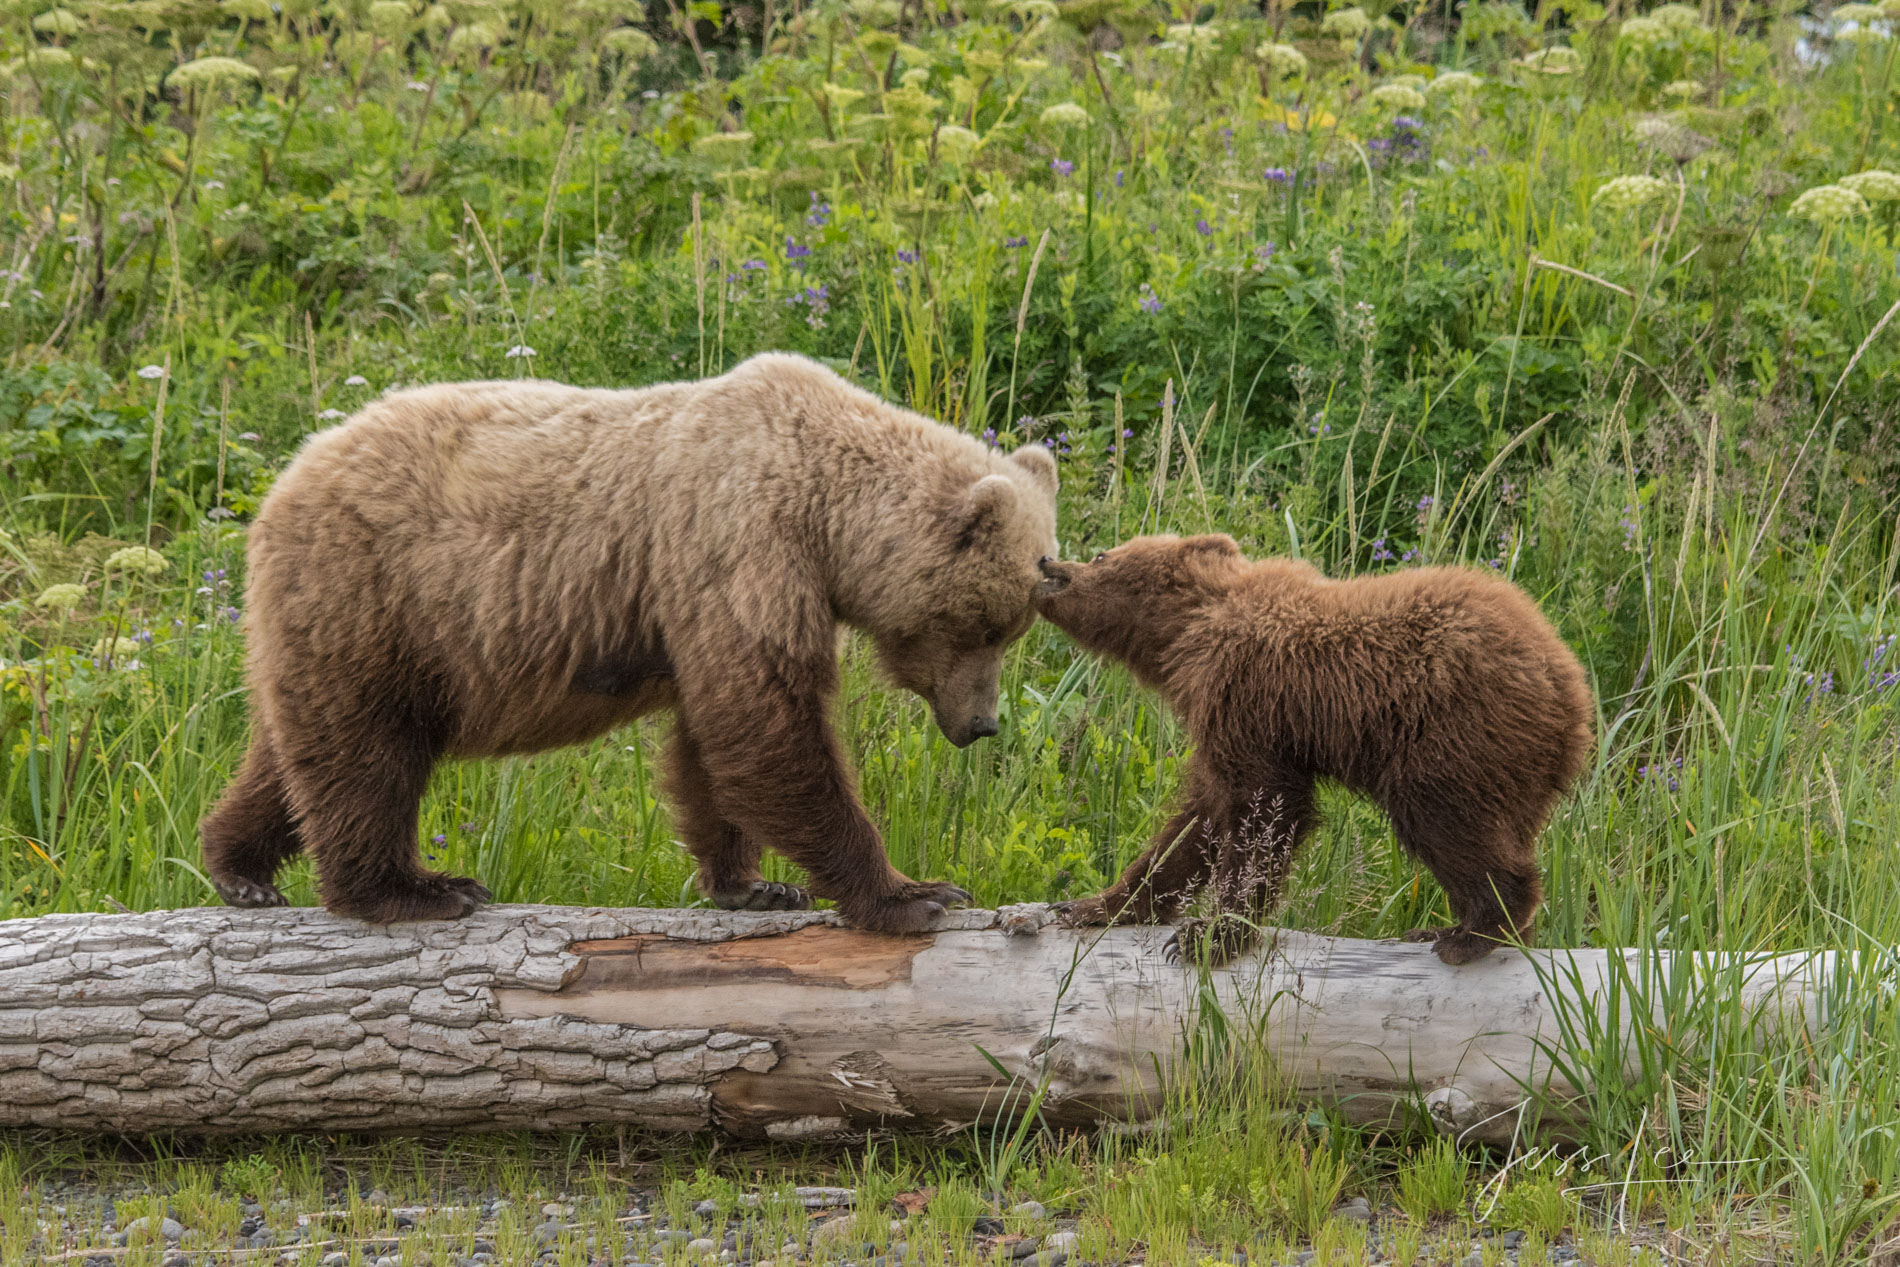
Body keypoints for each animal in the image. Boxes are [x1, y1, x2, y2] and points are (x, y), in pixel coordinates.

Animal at [200, 355, 1064, 930]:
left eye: (1015, 626)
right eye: (989, 625)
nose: (982, 723)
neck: (823, 510)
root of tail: (284, 478)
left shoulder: (705, 596)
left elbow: (713, 743)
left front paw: (754, 883)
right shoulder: (737, 544)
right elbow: (768, 727)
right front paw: (914, 893)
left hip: (340, 624)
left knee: (299, 750)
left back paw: (238, 866)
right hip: (378, 595)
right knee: (369, 754)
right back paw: (416, 888)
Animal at [1033, 531, 1596, 961]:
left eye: (1102, 554)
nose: (1046, 559)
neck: (1185, 635)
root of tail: (1572, 688)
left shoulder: (1247, 696)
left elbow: (1265, 810)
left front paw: (1210, 934)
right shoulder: (1224, 725)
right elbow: (1195, 824)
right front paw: (1092, 905)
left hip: (1456, 733)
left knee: (1445, 819)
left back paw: (1475, 931)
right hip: (1515, 770)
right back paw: (1457, 928)